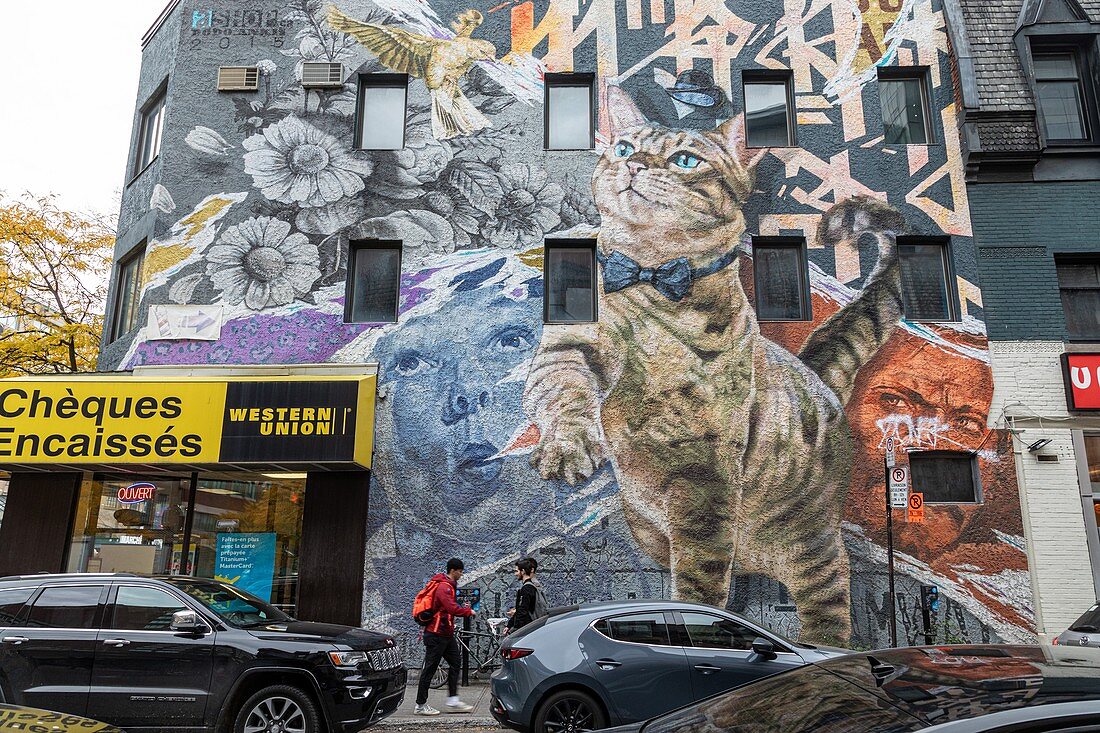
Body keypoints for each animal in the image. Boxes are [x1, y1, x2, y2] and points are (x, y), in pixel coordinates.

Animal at [519, 85, 906, 642]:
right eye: (624, 148)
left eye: (685, 160)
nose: (633, 163)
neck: (652, 278)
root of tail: (818, 373)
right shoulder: (569, 345)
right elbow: (562, 390)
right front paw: (570, 444)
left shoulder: (706, 479)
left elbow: (699, 586)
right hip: (647, 525)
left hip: (811, 548)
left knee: (830, 602)